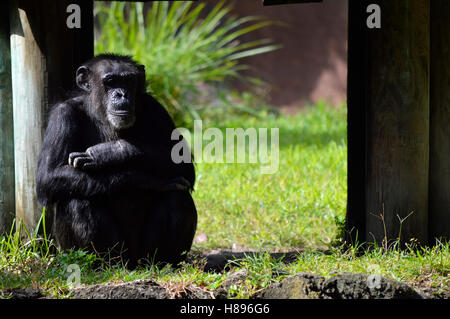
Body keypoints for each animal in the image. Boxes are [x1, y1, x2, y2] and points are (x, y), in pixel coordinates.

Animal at [35, 54, 197, 268]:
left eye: (128, 80)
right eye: (110, 81)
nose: (121, 94)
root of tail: (133, 265)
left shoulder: (156, 108)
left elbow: (183, 163)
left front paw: (109, 152)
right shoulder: (62, 116)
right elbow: (48, 177)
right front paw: (145, 180)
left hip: (144, 254)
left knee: (177, 196)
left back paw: (163, 264)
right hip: (115, 253)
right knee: (76, 200)